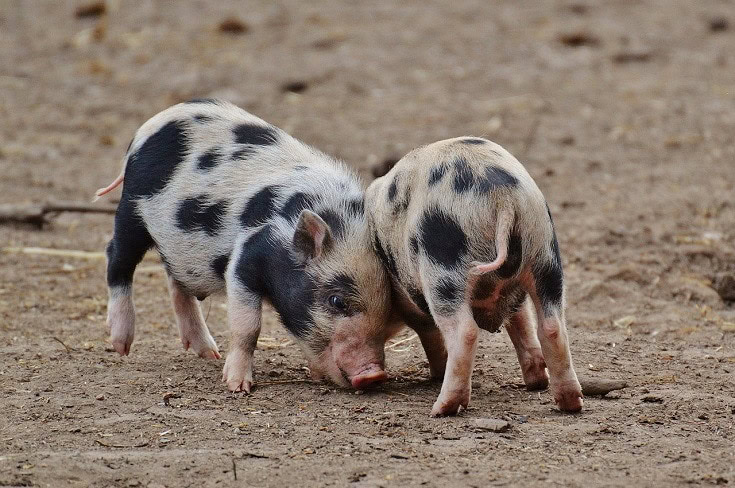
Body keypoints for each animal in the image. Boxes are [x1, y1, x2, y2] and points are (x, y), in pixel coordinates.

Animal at [95, 99, 395, 392]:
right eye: (337, 301)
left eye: (389, 307)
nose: (374, 375)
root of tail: (148, 127)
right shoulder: (245, 259)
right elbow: (248, 328)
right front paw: (237, 387)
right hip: (132, 209)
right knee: (117, 258)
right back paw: (121, 345)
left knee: (175, 280)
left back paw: (209, 353)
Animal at [365, 137, 583, 416]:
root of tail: (501, 196)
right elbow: (521, 318)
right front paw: (536, 380)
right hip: (544, 252)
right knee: (552, 326)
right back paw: (567, 401)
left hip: (443, 265)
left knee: (464, 332)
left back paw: (442, 408)